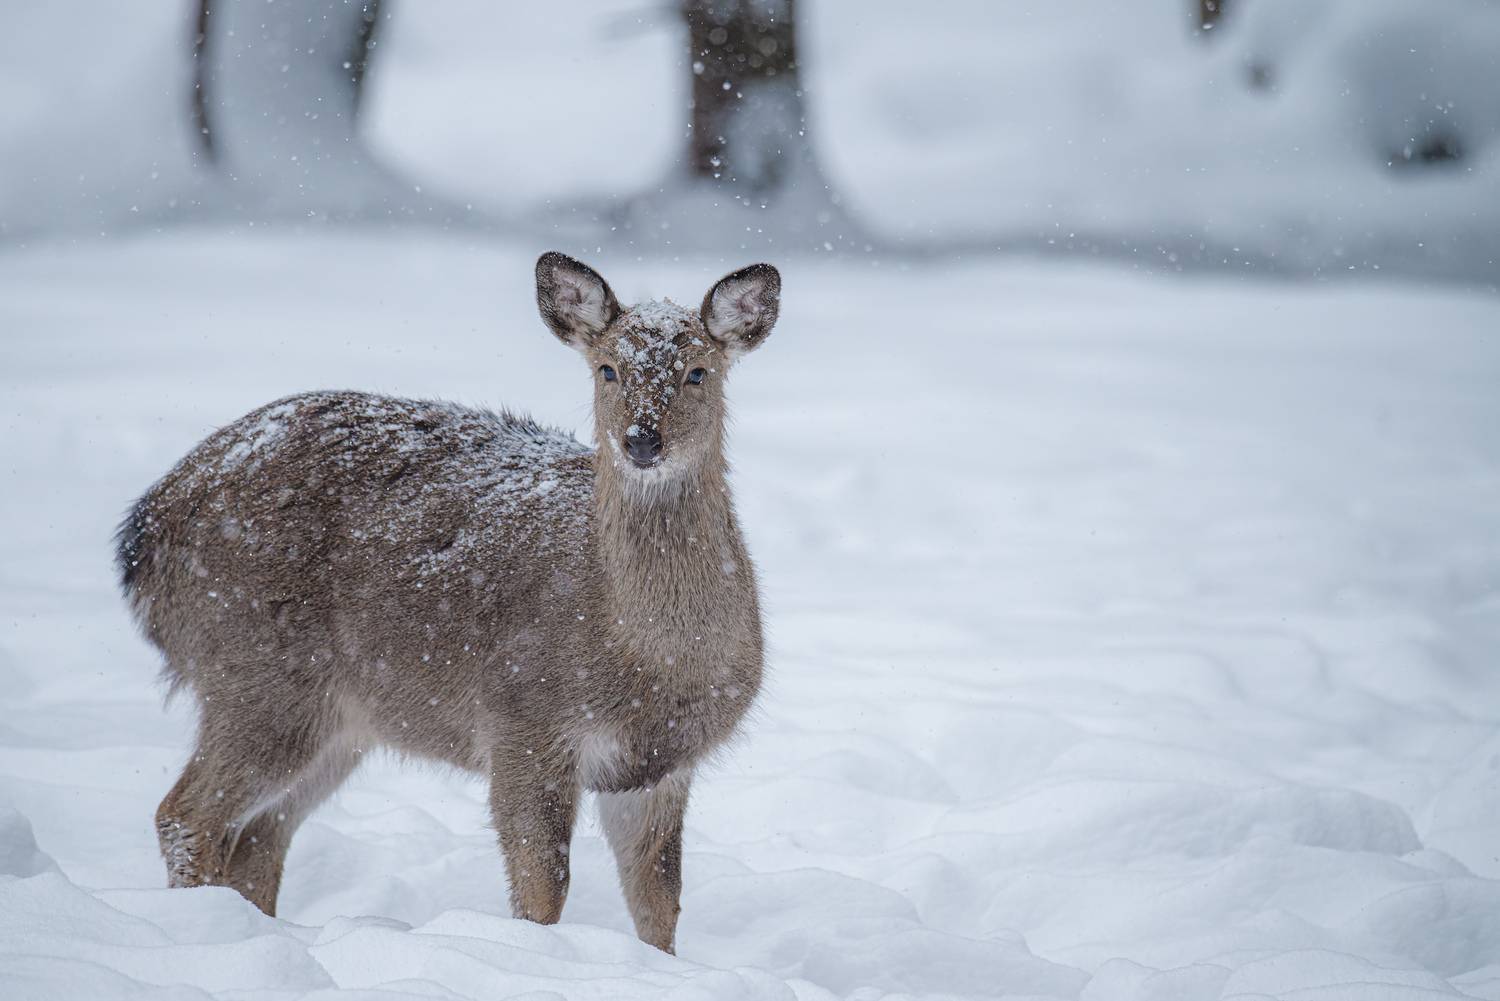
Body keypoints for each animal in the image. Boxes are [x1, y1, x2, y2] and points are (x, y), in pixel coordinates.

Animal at [114, 252, 781, 954]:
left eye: (698, 371)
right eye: (607, 368)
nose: (642, 441)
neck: (648, 662)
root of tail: (145, 532)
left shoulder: (657, 766)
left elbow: (659, 903)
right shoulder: (523, 719)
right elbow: (544, 887)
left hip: (341, 720)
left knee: (258, 839)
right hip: (252, 672)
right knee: (185, 815)